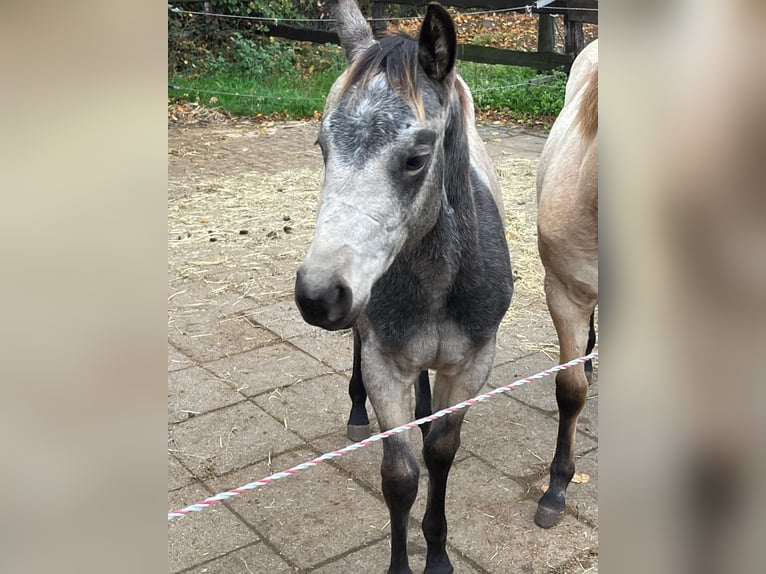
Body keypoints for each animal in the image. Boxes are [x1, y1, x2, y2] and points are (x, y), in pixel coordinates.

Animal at [294, 2, 513, 572]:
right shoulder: (384, 365)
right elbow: (400, 477)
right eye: (322, 148)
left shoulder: (473, 363)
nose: (318, 295)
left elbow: (439, 453)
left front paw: (437, 553)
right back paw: (357, 411)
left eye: (416, 157)